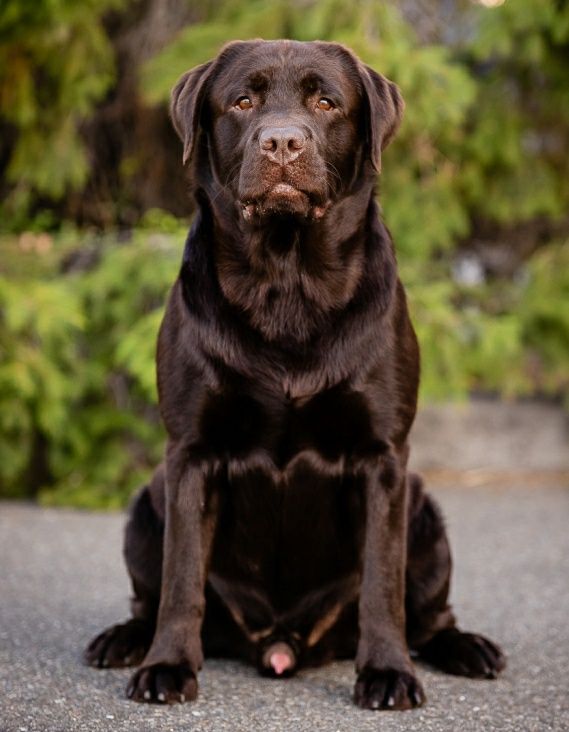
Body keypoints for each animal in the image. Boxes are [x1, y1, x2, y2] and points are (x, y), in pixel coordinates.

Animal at [85, 40, 506, 708]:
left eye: (326, 102)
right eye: (242, 101)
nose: (281, 142)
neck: (287, 282)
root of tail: (280, 644)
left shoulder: (383, 457)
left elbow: (382, 585)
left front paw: (387, 672)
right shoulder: (189, 454)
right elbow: (182, 579)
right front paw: (168, 666)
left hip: (425, 515)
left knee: (428, 614)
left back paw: (466, 648)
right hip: (145, 507)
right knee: (150, 596)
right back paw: (124, 639)